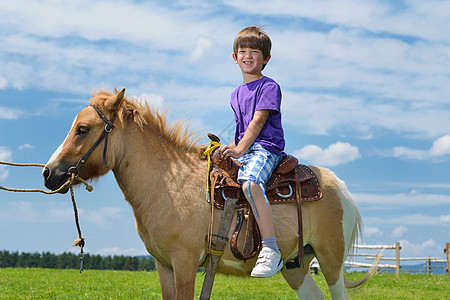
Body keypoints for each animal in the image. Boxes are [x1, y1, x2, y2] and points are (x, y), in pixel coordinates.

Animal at [44, 88, 376, 298]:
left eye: (83, 129)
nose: (48, 173)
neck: (168, 183)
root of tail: (341, 187)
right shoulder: (164, 265)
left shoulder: (185, 262)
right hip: (297, 265)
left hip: (331, 262)